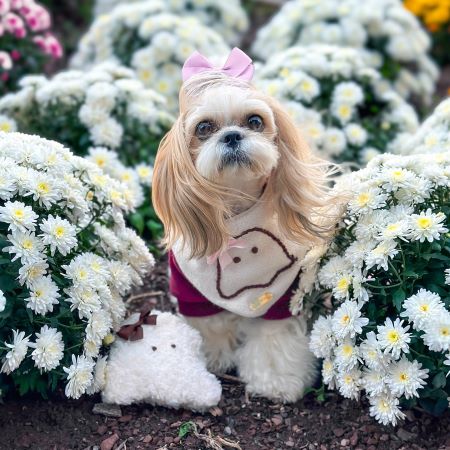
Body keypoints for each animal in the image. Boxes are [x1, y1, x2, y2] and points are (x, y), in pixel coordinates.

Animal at [152, 48, 334, 400]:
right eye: (204, 128)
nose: (233, 135)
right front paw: (212, 356)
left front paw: (276, 380)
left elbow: (274, 336)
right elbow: (209, 324)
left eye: (254, 121)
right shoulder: (189, 288)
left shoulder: (283, 294)